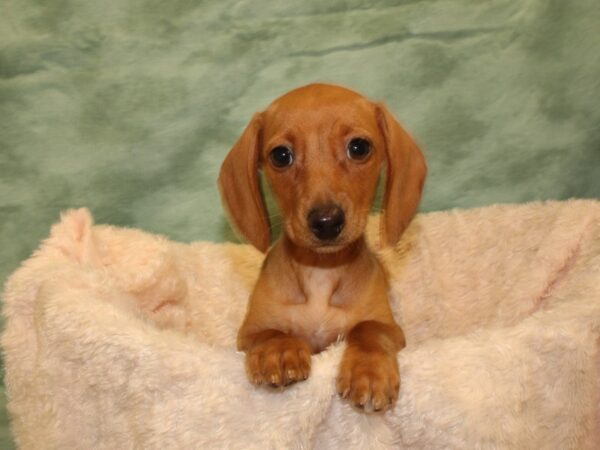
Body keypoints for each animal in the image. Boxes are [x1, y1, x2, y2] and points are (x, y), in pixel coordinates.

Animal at [220, 82, 426, 414]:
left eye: (359, 147)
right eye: (281, 155)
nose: (327, 221)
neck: (320, 270)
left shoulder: (390, 328)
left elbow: (368, 330)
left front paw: (369, 371)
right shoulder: (248, 332)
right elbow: (270, 333)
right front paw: (279, 350)